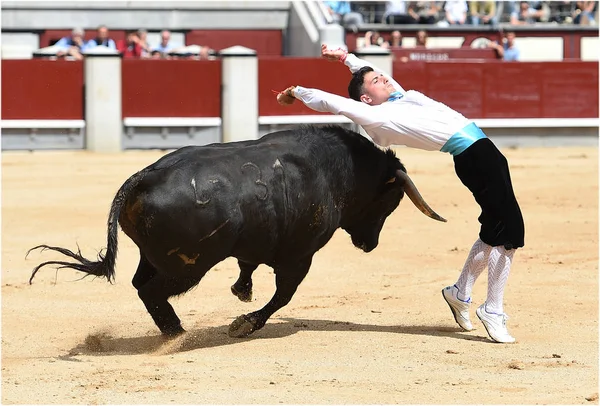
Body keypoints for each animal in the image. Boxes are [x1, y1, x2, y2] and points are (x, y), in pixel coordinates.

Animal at [27, 125, 446, 338]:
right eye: (390, 203)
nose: (368, 244)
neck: (339, 168)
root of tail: (142, 178)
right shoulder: (300, 256)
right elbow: (283, 296)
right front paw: (244, 322)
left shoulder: (260, 241)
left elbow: (249, 267)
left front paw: (241, 292)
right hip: (188, 265)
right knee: (151, 291)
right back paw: (177, 333)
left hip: (156, 257)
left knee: (140, 285)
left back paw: (173, 330)